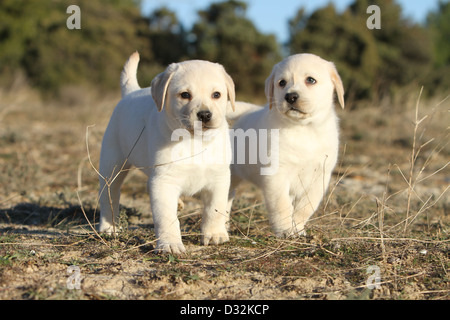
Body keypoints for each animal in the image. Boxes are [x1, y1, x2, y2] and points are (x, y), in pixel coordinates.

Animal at [98, 52, 236, 255]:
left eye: (216, 95)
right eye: (185, 95)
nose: (204, 115)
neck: (194, 140)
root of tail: (131, 92)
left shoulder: (219, 178)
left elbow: (215, 209)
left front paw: (214, 234)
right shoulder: (163, 181)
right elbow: (166, 217)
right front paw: (170, 244)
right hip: (112, 166)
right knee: (109, 198)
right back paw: (108, 228)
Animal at [229, 53, 344, 238]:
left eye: (310, 80)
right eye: (282, 82)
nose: (290, 97)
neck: (304, 129)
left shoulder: (320, 177)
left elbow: (305, 207)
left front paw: (297, 228)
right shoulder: (277, 175)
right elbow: (281, 206)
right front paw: (285, 230)